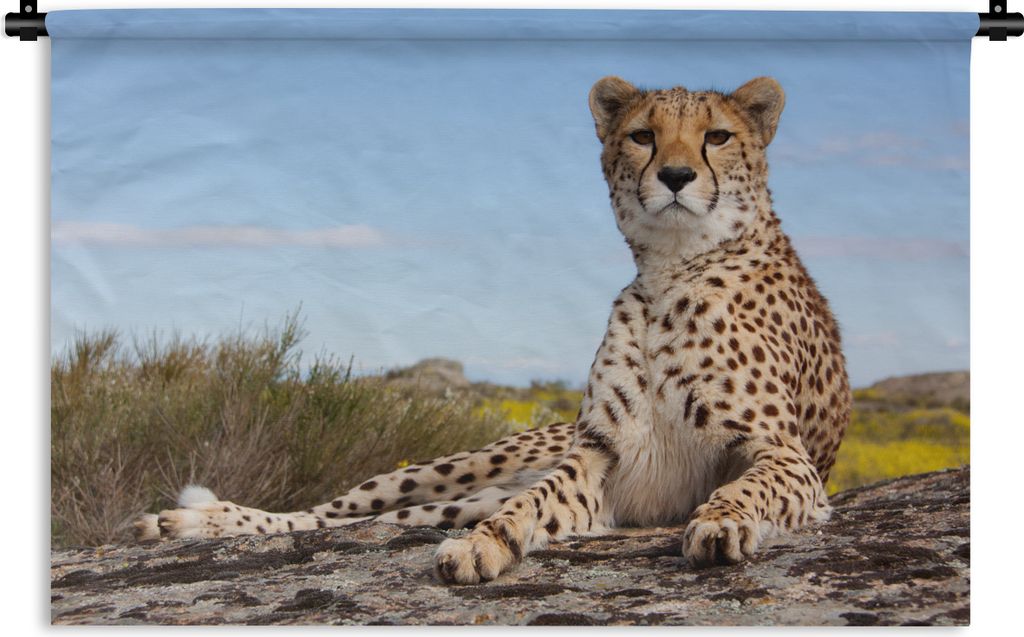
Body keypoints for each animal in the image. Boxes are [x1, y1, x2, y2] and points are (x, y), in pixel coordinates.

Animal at [134, 75, 851, 585]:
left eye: (718, 137)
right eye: (644, 136)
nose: (676, 176)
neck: (670, 270)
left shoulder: (785, 455)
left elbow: (745, 487)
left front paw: (721, 523)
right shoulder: (599, 457)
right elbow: (532, 506)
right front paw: (486, 546)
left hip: (457, 494)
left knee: (379, 518)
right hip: (459, 469)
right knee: (327, 513)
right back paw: (196, 520)